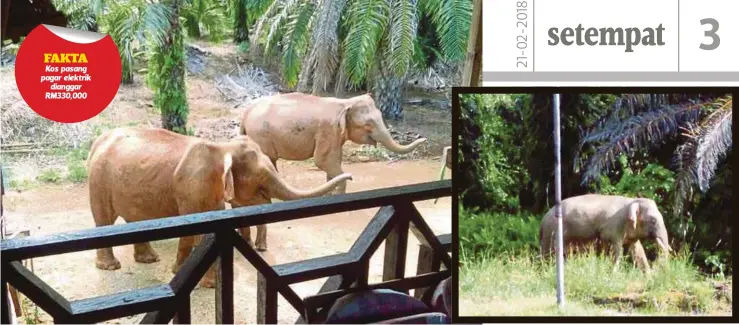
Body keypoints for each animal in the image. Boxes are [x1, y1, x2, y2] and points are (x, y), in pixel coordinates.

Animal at [86, 126, 352, 286]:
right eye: (260, 181)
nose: (350, 176)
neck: (223, 148)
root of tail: (98, 140)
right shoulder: (193, 187)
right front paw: (186, 274)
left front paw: (207, 282)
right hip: (98, 180)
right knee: (103, 219)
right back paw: (110, 266)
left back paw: (148, 260)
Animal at [540, 194, 672, 272]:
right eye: (653, 220)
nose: (656, 268)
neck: (632, 200)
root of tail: (543, 219)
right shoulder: (613, 227)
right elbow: (616, 249)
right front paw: (614, 273)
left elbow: (637, 250)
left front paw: (648, 276)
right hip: (552, 232)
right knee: (551, 254)